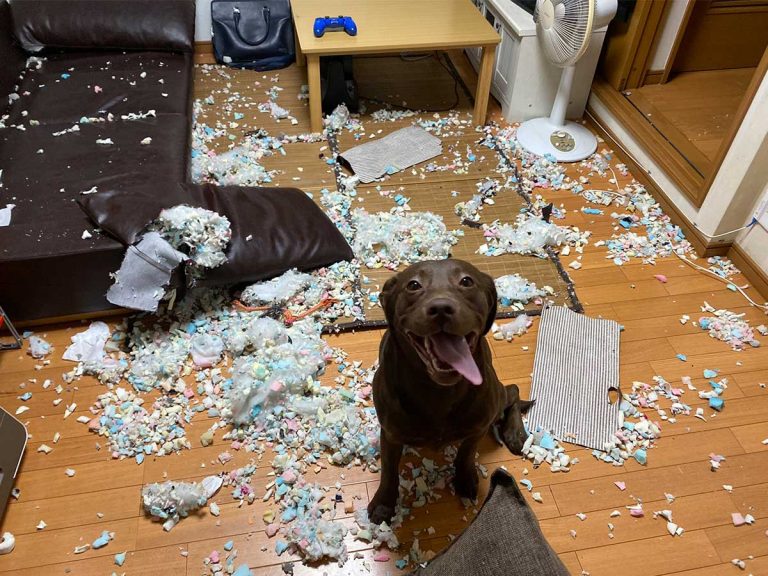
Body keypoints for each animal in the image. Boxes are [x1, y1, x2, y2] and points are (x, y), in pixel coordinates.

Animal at [368, 258, 532, 524]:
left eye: (466, 281)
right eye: (413, 285)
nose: (441, 308)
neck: (439, 392)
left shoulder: (477, 427)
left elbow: (466, 453)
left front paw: (465, 479)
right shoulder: (390, 434)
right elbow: (389, 470)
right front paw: (384, 503)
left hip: (496, 397)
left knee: (513, 390)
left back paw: (515, 433)